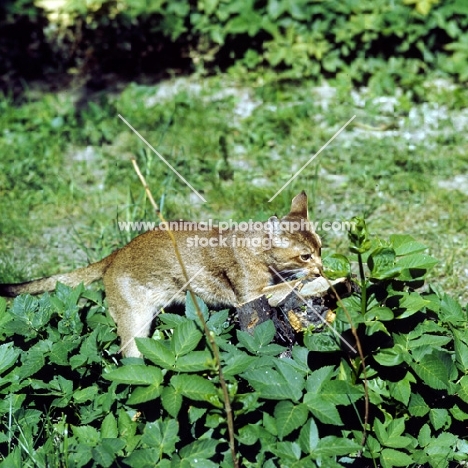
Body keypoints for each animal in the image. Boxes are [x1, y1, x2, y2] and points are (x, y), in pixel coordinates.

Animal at [0, 192, 322, 356]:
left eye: (321, 248)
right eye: (305, 255)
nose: (320, 265)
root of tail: (118, 251)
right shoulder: (249, 297)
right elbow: (291, 284)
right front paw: (315, 279)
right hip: (135, 324)